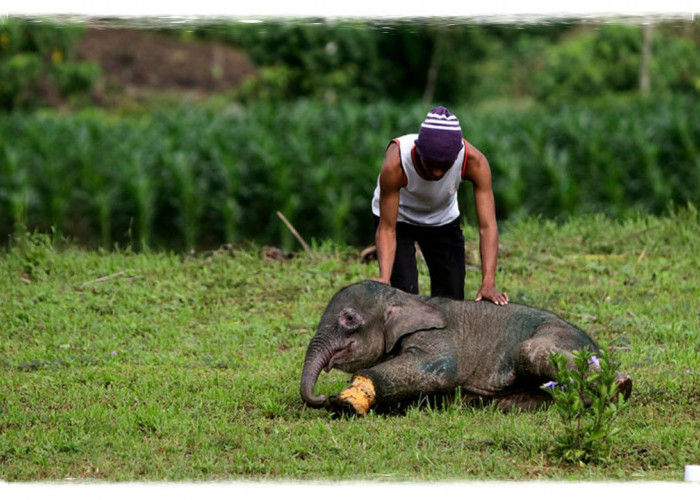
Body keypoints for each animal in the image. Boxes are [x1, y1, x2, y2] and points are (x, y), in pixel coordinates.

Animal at [298, 280, 632, 416]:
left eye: (349, 319)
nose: (319, 398)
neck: (407, 298)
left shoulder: (438, 337)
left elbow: (442, 367)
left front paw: (344, 401)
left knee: (529, 351)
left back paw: (619, 387)